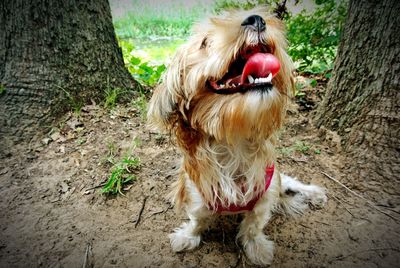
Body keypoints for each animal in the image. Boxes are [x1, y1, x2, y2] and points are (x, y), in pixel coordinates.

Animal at [148, 6, 326, 266]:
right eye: (205, 42)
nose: (257, 19)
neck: (235, 141)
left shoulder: (264, 195)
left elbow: (253, 226)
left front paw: (256, 248)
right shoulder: (198, 196)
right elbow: (197, 221)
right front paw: (187, 237)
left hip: (278, 179)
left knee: (292, 182)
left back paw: (314, 193)